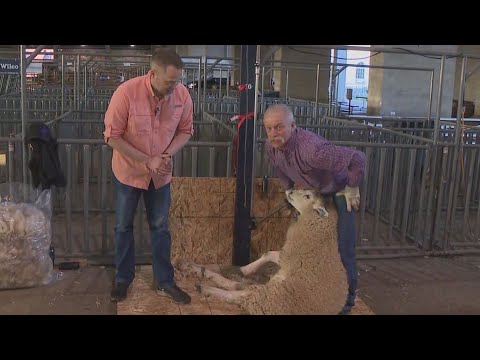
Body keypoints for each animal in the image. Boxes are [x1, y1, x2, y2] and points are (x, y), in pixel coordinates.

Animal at [175, 188, 344, 316]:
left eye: (307, 196)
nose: (289, 190)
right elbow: (269, 254)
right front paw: (244, 269)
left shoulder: (290, 257)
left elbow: (271, 254)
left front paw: (245, 269)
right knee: (236, 286)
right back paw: (199, 270)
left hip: (271, 297)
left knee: (238, 293)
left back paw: (204, 286)